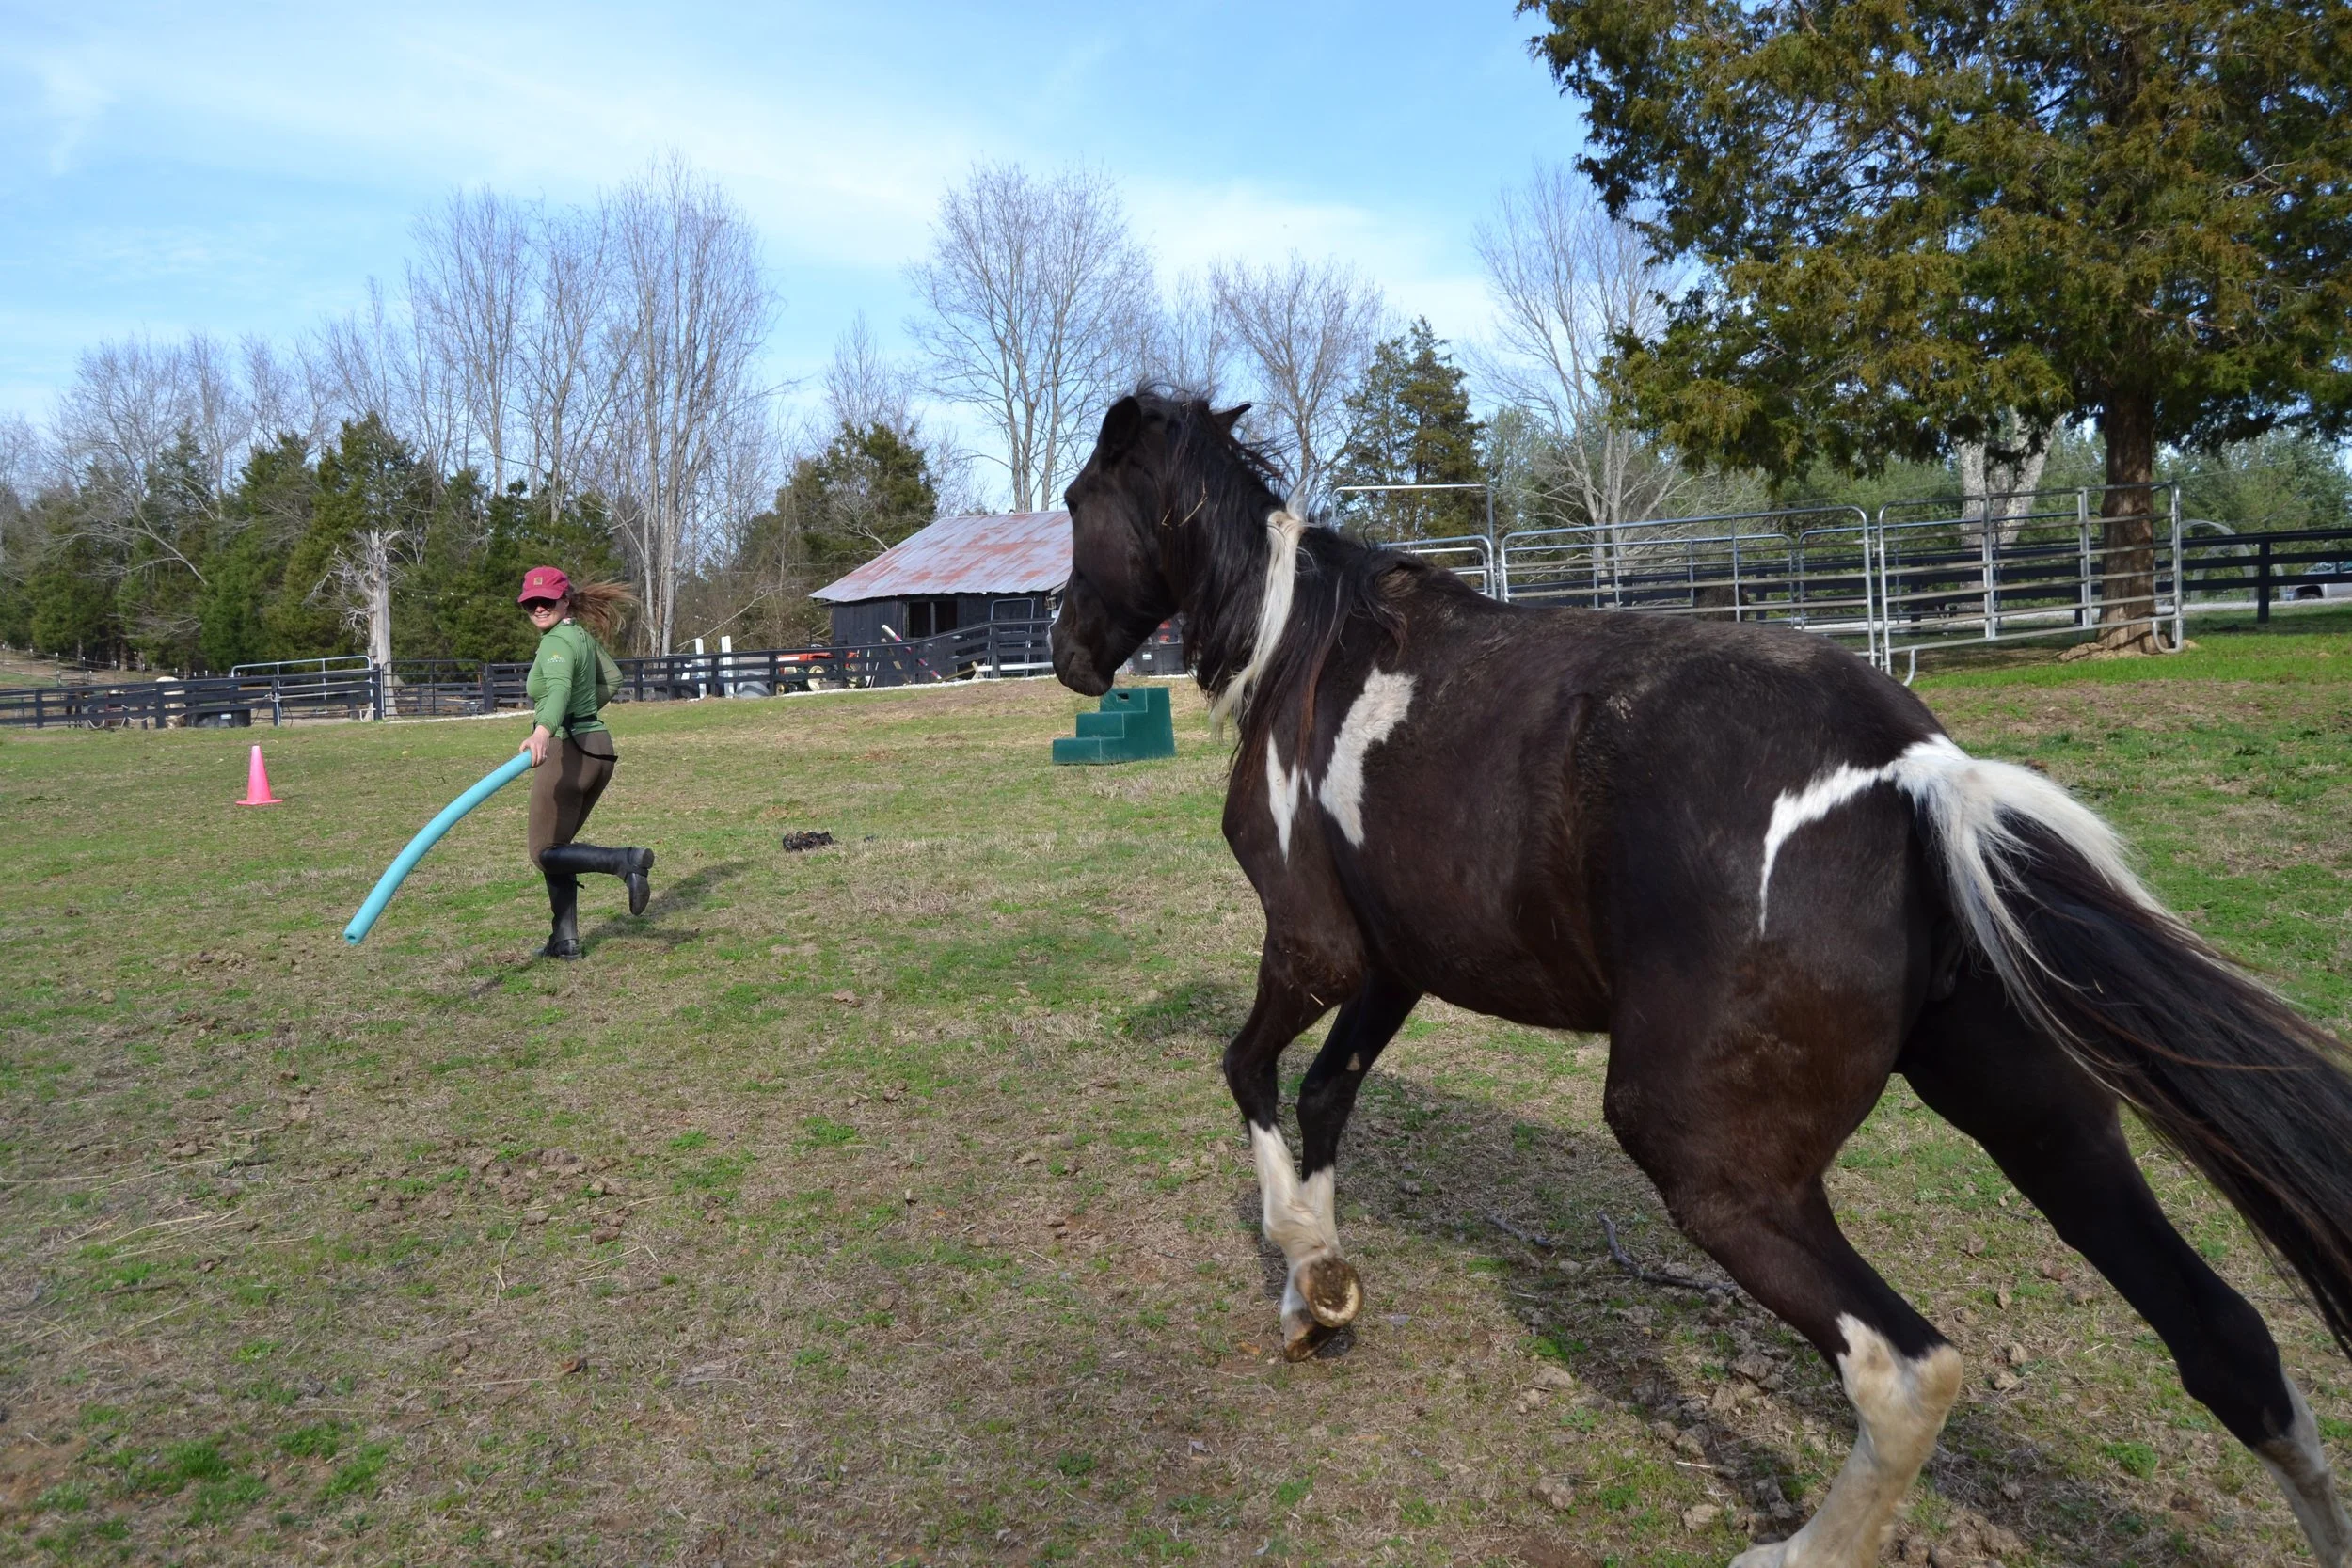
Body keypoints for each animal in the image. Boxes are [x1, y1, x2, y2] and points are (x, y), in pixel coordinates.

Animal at [1049, 390, 2352, 1568]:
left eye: (1072, 501)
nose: (1064, 649)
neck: (1303, 647)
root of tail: (1912, 773)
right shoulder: (1392, 967)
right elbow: (1323, 1098)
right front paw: (1320, 1288)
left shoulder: (1312, 948)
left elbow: (1249, 1071)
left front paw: (1297, 1269)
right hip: (2037, 1116)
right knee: (2230, 1342)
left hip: (1709, 1158)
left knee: (1905, 1368)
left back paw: (1799, 1548)